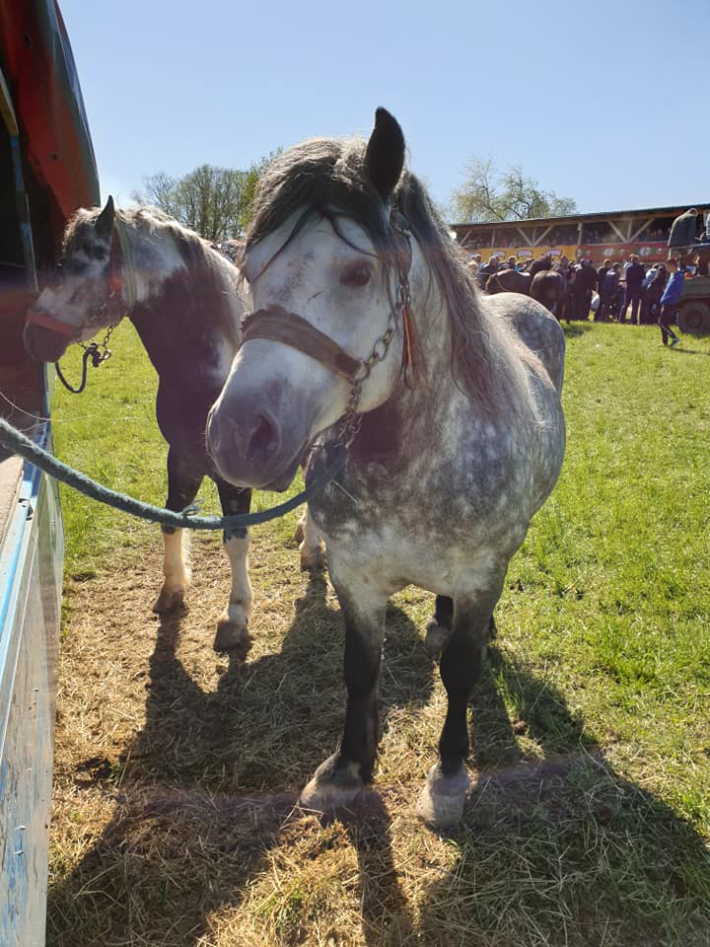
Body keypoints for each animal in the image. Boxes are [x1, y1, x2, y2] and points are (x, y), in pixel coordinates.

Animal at [23, 199, 255, 652]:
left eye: (77, 264)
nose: (31, 336)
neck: (213, 372)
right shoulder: (182, 458)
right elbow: (170, 520)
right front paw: (173, 590)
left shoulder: (232, 475)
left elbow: (235, 540)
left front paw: (235, 616)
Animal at [206, 108, 566, 827]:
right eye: (250, 269)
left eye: (356, 273)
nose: (235, 435)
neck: (413, 461)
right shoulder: (354, 575)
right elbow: (359, 669)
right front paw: (346, 767)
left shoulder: (481, 574)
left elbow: (461, 672)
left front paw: (449, 776)